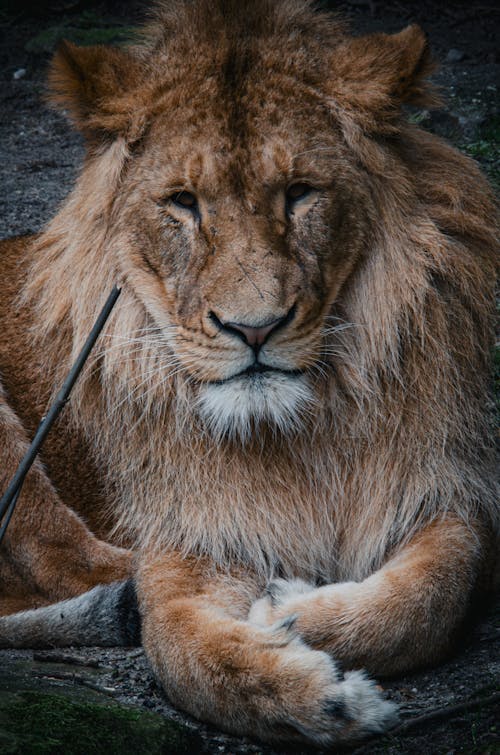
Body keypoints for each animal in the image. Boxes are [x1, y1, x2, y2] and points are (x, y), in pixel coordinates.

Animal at [0, 0, 498, 748]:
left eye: (300, 193)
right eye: (183, 202)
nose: (254, 328)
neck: (295, 428)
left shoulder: (439, 485)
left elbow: (434, 594)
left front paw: (286, 612)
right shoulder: (188, 536)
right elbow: (182, 648)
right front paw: (318, 697)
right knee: (70, 561)